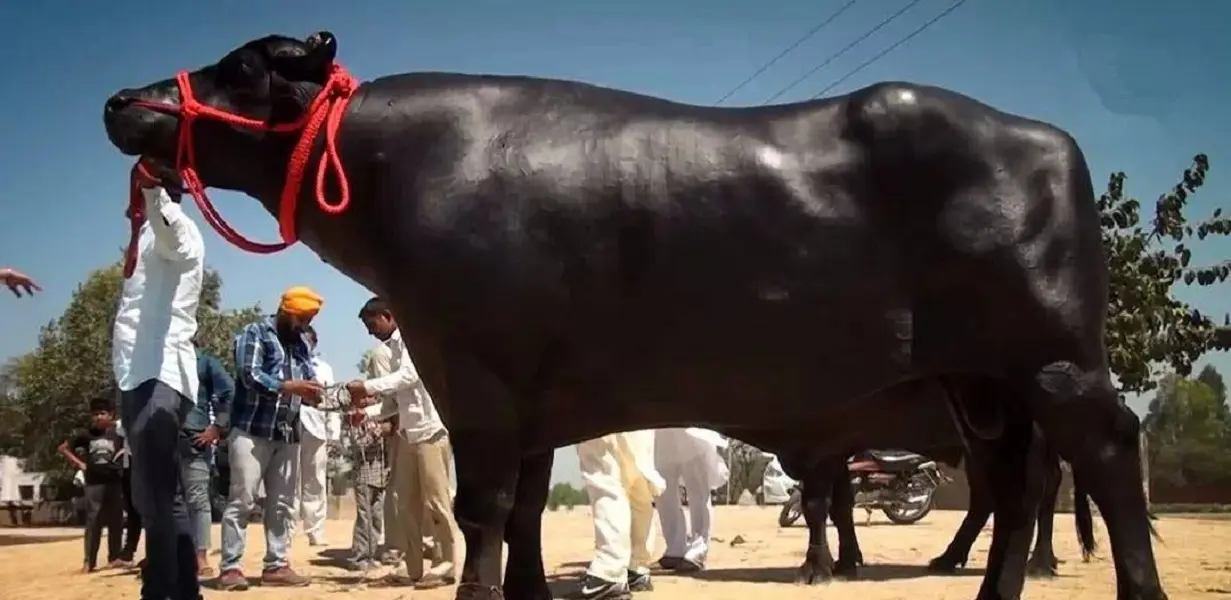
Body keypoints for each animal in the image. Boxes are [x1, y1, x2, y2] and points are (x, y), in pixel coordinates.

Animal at [103, 31, 1162, 600]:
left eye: (245, 66)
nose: (122, 99)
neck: (399, 172)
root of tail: (1044, 138)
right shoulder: (529, 403)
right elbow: (525, 510)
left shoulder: (472, 375)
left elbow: (484, 509)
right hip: (983, 385)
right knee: (1015, 484)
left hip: (1055, 360)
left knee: (1104, 460)